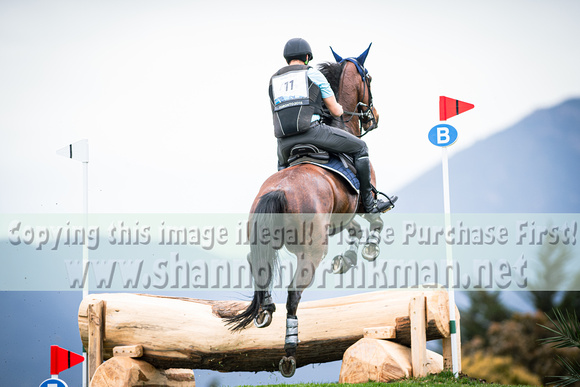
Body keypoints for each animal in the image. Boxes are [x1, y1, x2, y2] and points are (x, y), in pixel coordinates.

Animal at [223, 44, 394, 378]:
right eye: (369, 78)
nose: (375, 117)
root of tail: (277, 190)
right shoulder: (361, 202)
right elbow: (375, 219)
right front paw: (367, 251)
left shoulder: (342, 213)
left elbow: (354, 230)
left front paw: (346, 259)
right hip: (312, 252)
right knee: (293, 294)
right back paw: (289, 352)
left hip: (262, 240)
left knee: (260, 270)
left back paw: (265, 310)